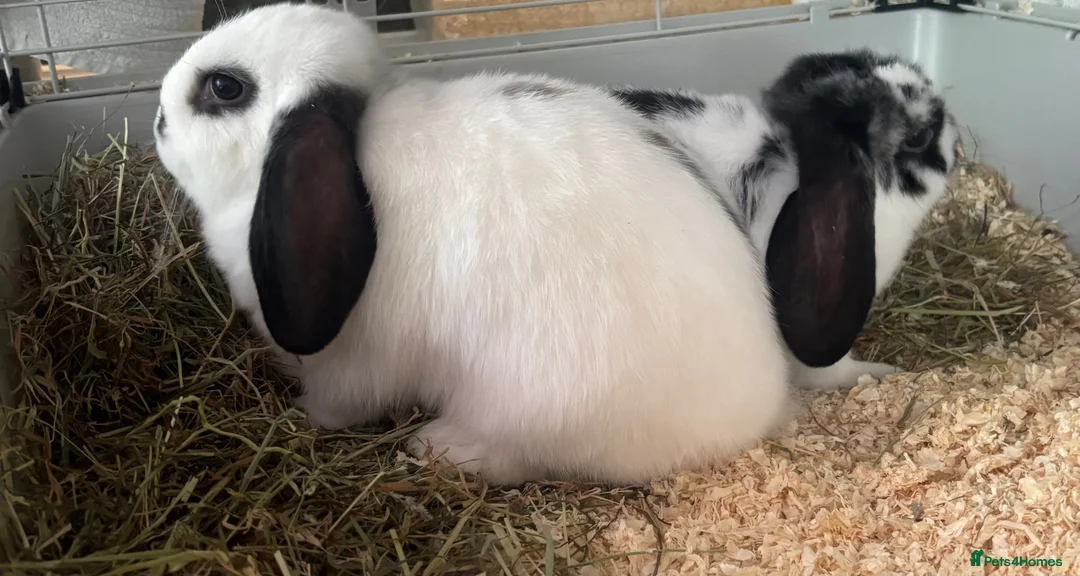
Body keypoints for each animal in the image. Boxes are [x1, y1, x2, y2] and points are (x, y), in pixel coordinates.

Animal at [153, 3, 796, 486]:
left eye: (226, 88)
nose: (156, 118)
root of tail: (756, 408)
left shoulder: (353, 363)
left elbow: (339, 402)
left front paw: (301, 417)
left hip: (531, 400)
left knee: (515, 457)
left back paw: (434, 445)